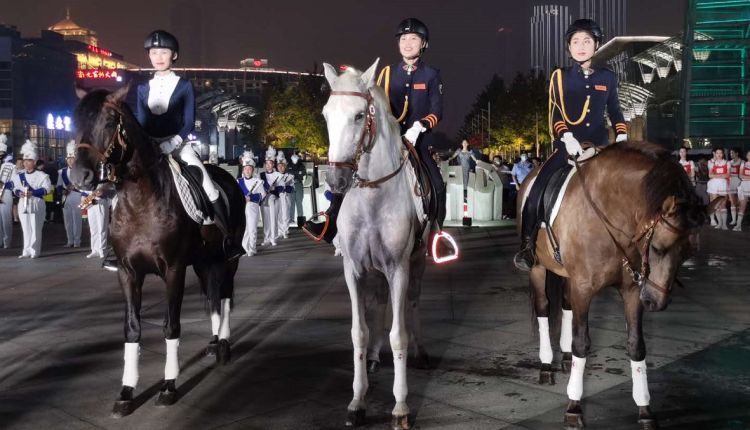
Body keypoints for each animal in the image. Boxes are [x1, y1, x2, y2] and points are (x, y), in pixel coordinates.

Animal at [71, 84, 244, 416]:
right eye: (76, 121)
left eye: (109, 122)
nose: (79, 177)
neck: (140, 200)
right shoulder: (127, 273)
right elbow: (132, 328)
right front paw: (127, 391)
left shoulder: (174, 270)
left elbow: (170, 326)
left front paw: (168, 386)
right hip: (203, 262)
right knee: (214, 297)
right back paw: (214, 341)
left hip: (228, 260)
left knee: (226, 296)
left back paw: (224, 346)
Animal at [324, 58, 428, 428]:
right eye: (326, 114)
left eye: (359, 116)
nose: (336, 179)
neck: (372, 194)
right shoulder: (353, 270)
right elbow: (360, 331)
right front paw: (357, 400)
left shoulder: (399, 268)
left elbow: (398, 333)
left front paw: (400, 406)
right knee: (382, 303)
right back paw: (372, 358)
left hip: (417, 263)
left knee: (412, 304)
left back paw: (419, 350)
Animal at [516, 139, 724, 428]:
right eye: (658, 248)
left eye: (689, 254)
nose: (655, 301)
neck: (613, 215)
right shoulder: (583, 287)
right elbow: (582, 342)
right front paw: (574, 406)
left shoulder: (633, 290)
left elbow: (636, 345)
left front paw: (644, 408)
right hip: (537, 268)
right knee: (543, 308)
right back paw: (547, 364)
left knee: (565, 307)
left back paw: (566, 357)